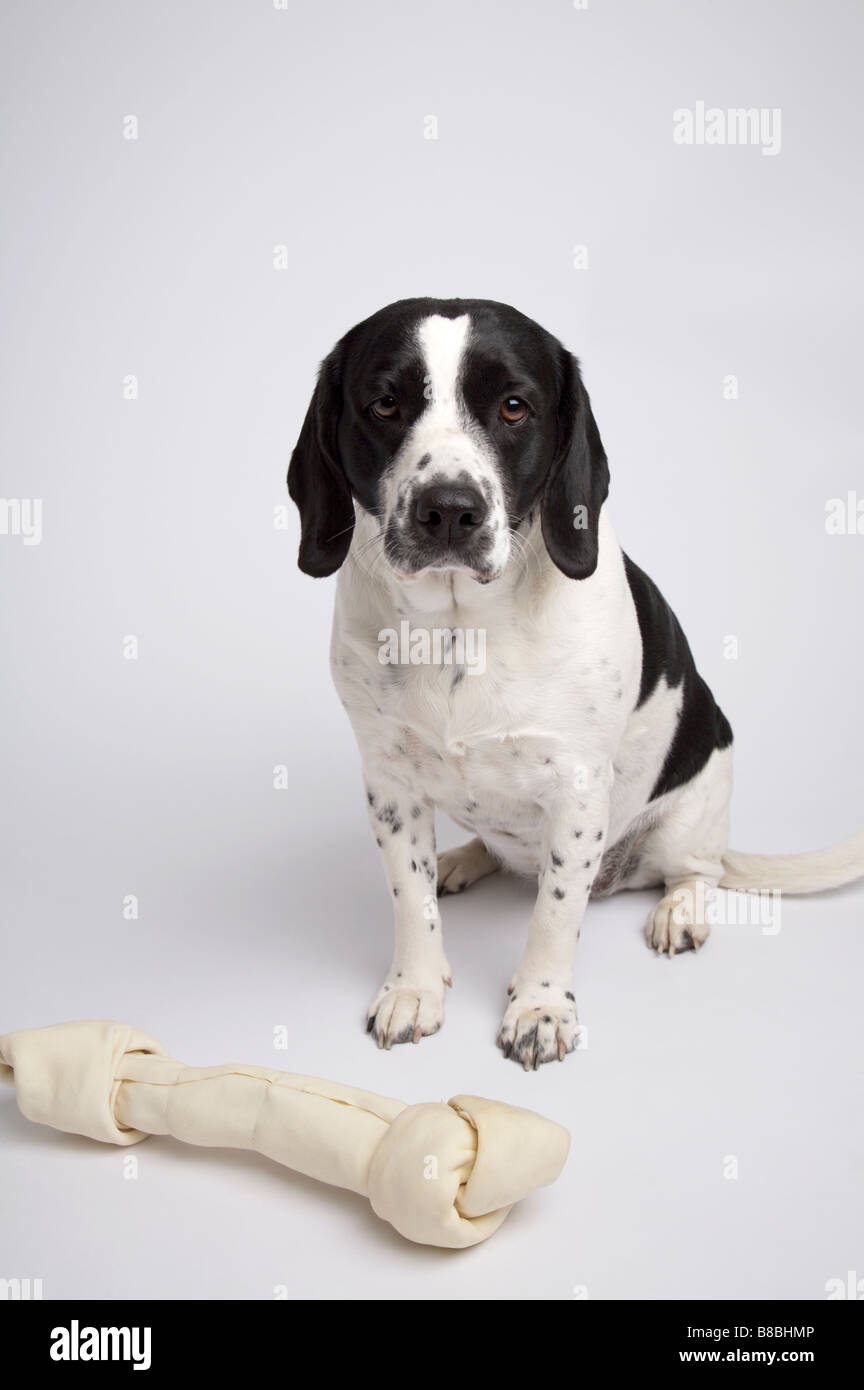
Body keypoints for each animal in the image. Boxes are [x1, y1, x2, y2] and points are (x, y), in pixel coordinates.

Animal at [288, 298, 864, 1067]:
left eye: (513, 406)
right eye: (384, 403)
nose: (449, 509)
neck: (459, 629)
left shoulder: (578, 789)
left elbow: (557, 914)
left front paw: (540, 1007)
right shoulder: (390, 782)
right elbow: (410, 898)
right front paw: (414, 987)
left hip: (690, 818)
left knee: (697, 871)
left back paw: (678, 909)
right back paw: (463, 860)